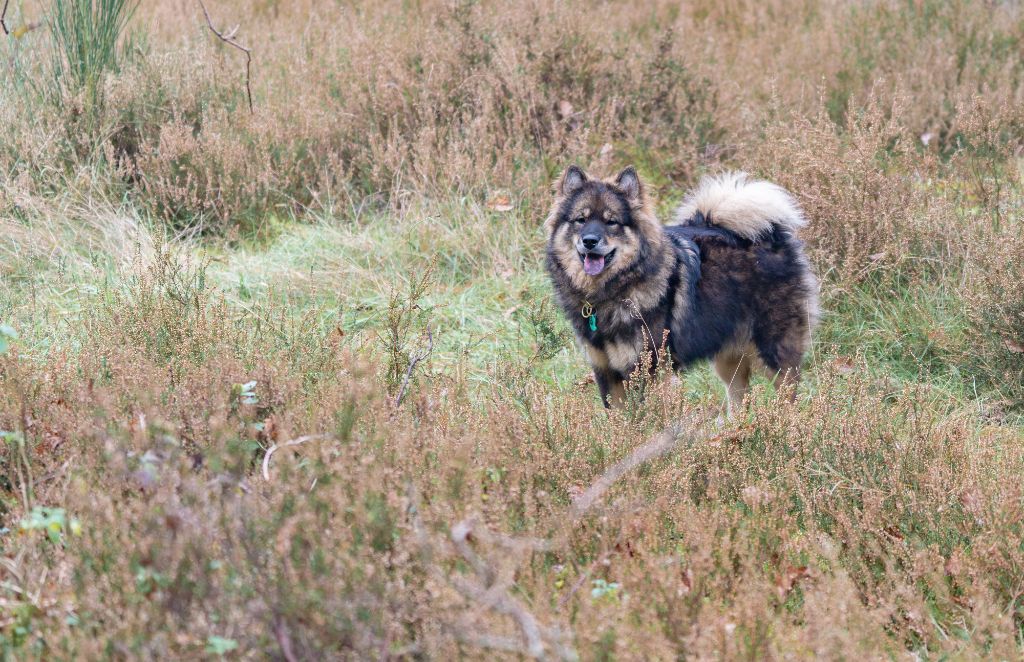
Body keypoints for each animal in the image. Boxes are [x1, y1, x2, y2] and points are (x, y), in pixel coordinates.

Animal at [544, 166, 815, 411]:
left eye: (611, 222)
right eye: (581, 220)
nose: (590, 241)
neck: (610, 293)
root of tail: (773, 237)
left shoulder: (652, 369)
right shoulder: (605, 371)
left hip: (774, 353)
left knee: (788, 398)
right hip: (728, 359)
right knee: (739, 401)